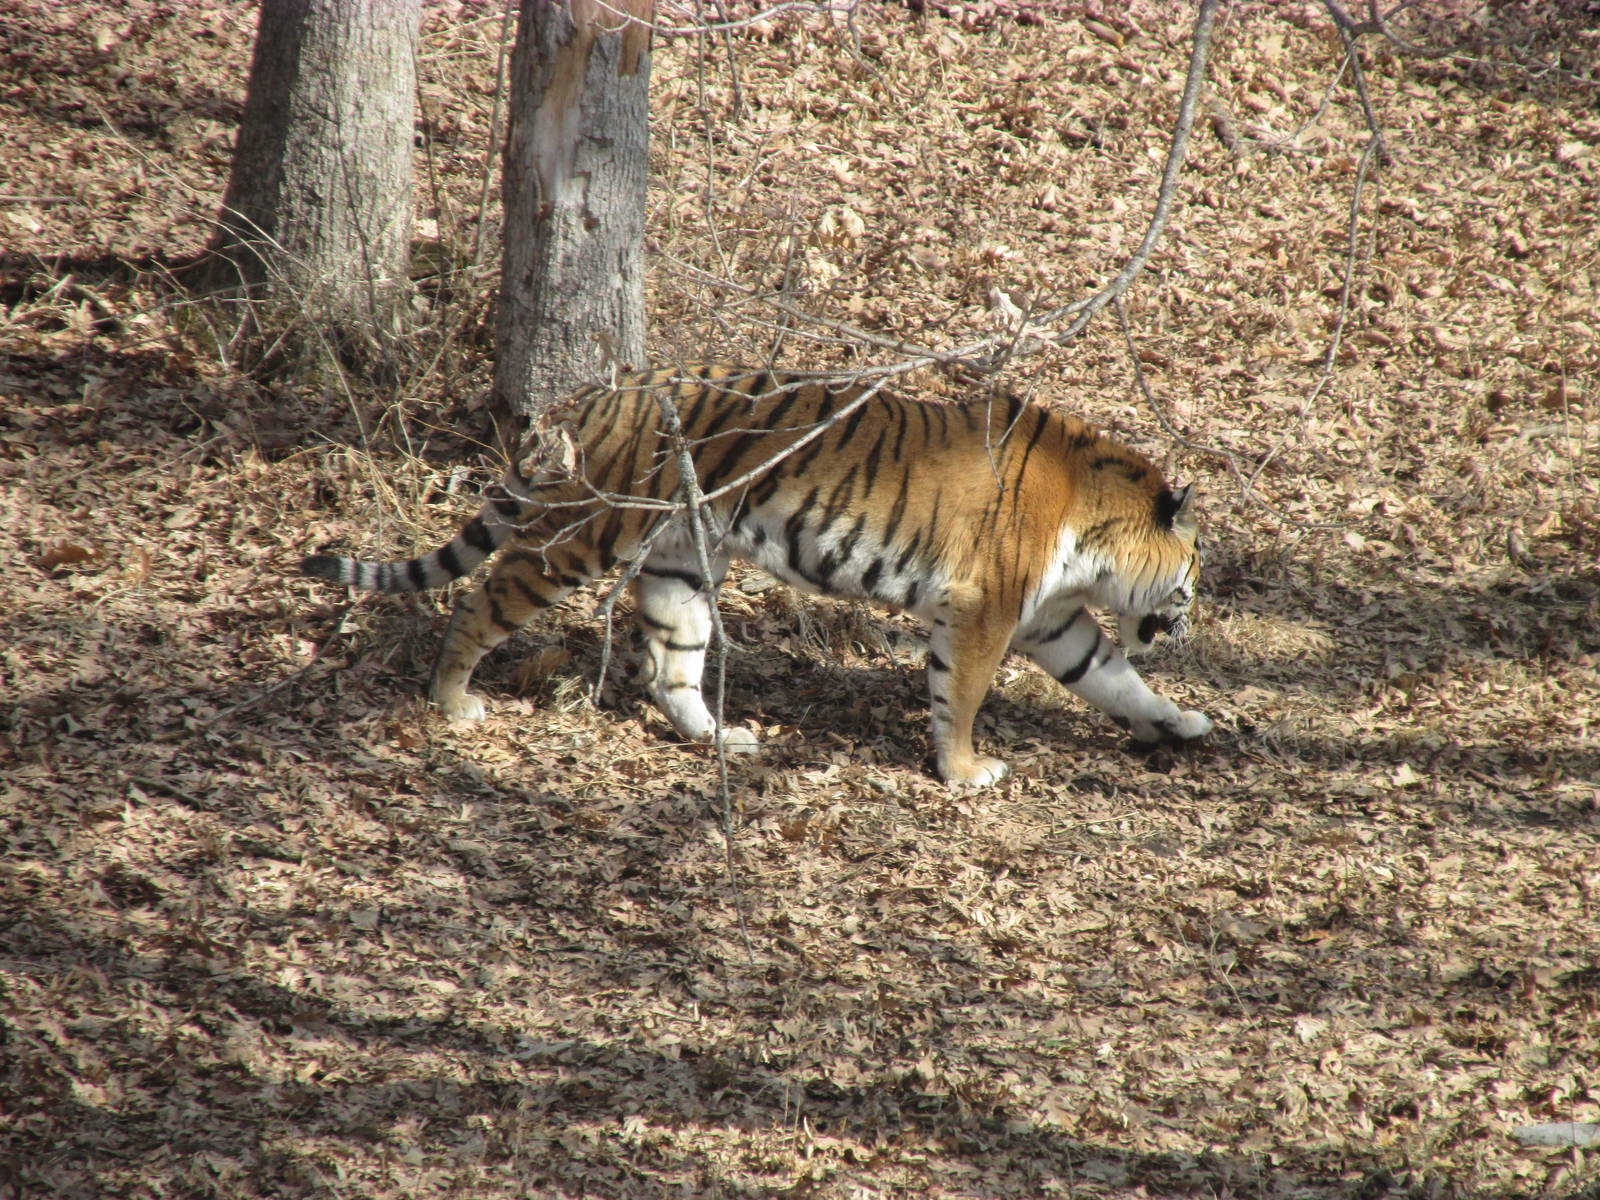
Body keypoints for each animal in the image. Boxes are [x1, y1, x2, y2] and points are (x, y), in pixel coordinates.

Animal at [300, 365, 1211, 786]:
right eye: (1196, 574)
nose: (1191, 621)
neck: (1095, 537)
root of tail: (604, 390)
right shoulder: (985, 608)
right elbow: (963, 693)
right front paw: (964, 773)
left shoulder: (1052, 617)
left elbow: (1115, 677)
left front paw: (1180, 721)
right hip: (585, 537)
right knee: (488, 595)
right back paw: (451, 701)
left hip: (681, 566)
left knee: (669, 669)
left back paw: (720, 738)